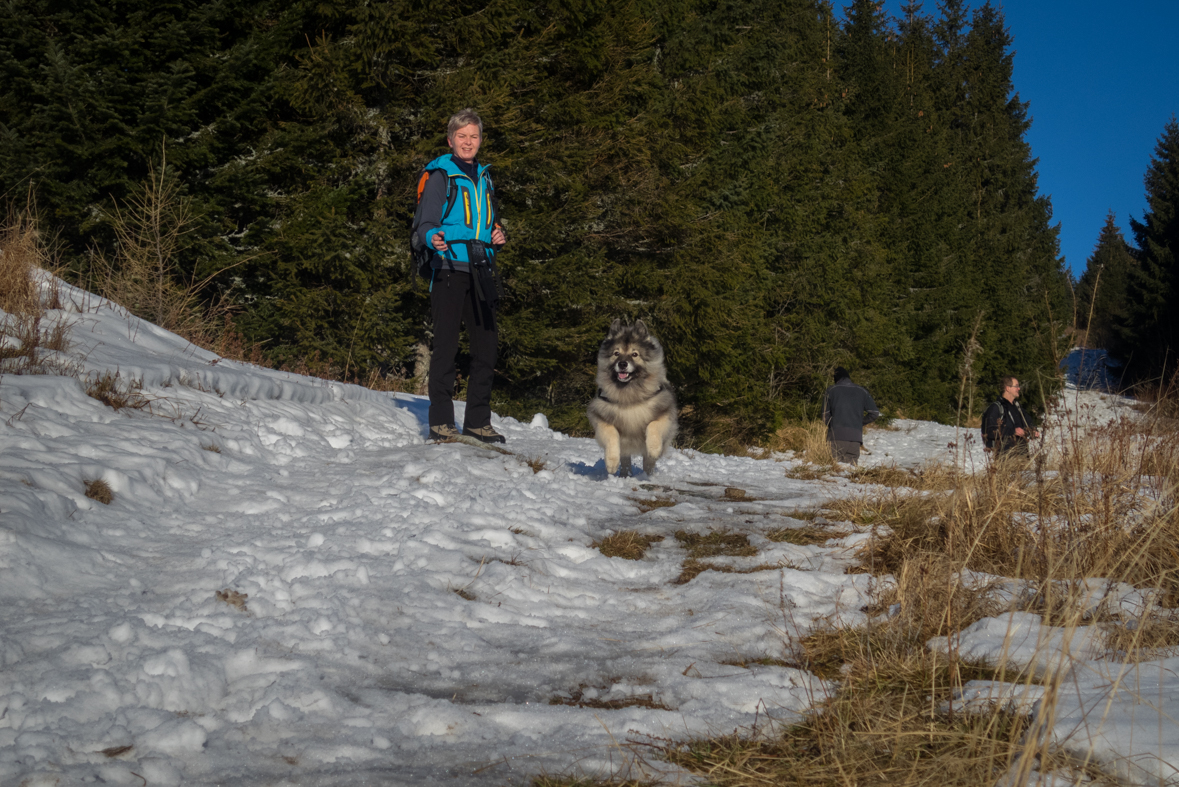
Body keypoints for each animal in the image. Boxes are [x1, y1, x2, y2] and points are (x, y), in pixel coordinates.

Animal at [584, 318, 679, 475]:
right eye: (616, 353)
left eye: (635, 354)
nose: (622, 364)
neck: (629, 396)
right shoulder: (601, 417)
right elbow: (611, 434)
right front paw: (611, 463)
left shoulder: (665, 414)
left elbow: (653, 426)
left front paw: (653, 449)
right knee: (626, 459)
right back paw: (625, 474)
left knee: (648, 460)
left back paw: (648, 471)